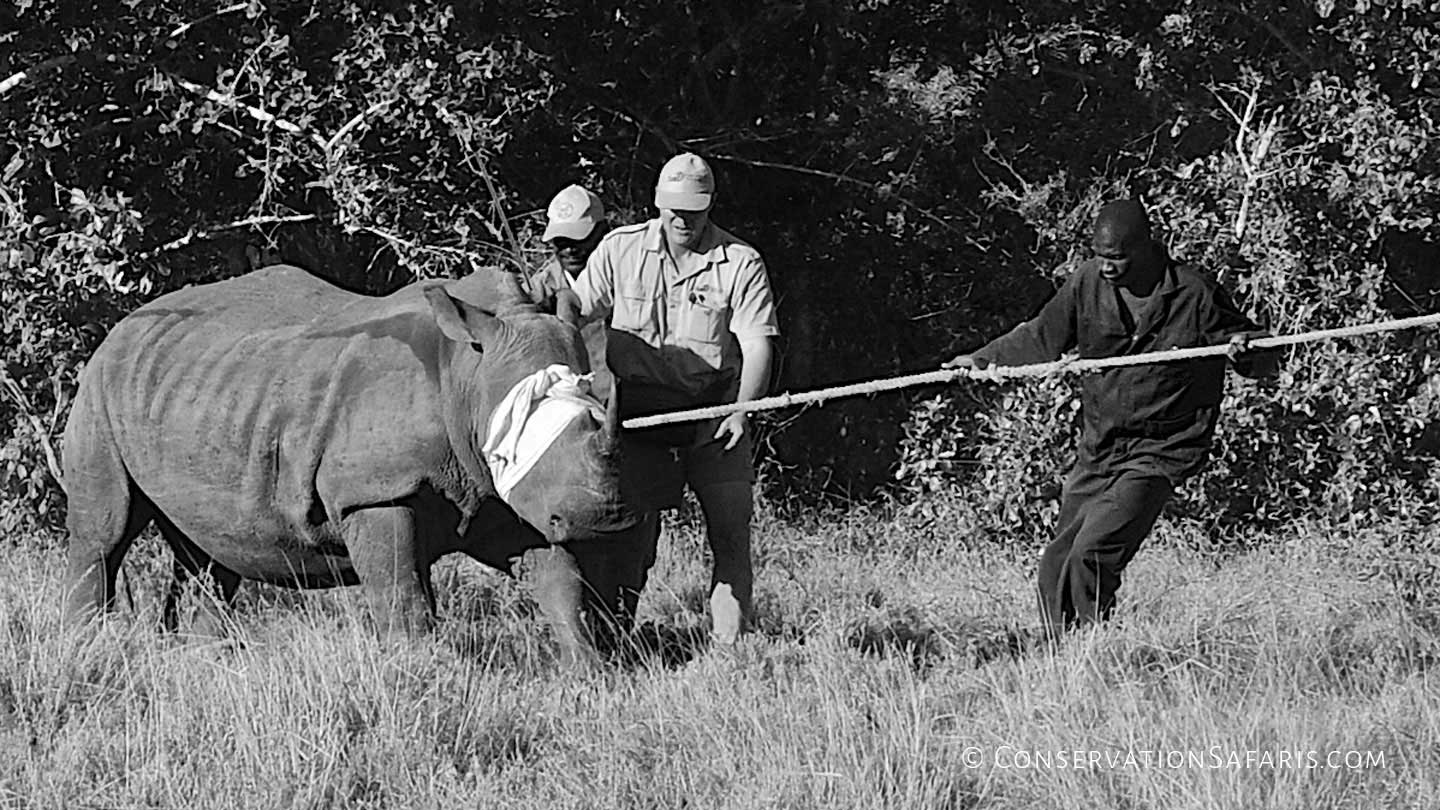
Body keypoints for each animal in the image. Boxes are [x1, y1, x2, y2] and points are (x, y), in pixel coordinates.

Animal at [61, 262, 645, 660]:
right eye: (526, 427)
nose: (607, 520)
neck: (467, 373)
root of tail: (121, 327)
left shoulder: (508, 494)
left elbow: (562, 588)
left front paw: (587, 674)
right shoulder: (376, 491)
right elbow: (402, 596)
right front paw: (418, 676)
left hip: (194, 387)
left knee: (208, 554)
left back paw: (200, 659)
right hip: (99, 387)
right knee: (104, 534)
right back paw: (84, 651)